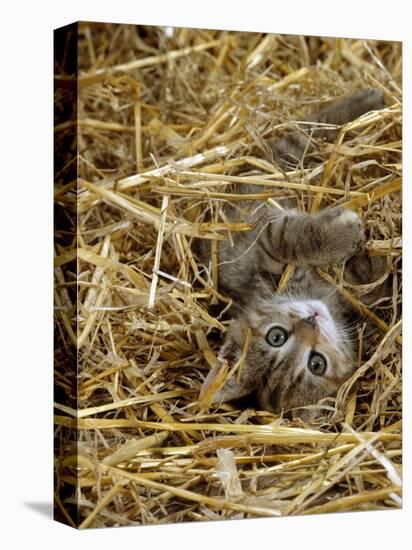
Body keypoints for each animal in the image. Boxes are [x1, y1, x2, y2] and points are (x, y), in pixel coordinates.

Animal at [200, 88, 386, 416]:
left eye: (276, 336)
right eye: (316, 364)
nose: (310, 321)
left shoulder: (266, 250)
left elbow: (283, 238)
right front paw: (350, 237)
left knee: (307, 133)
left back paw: (368, 101)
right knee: (306, 135)